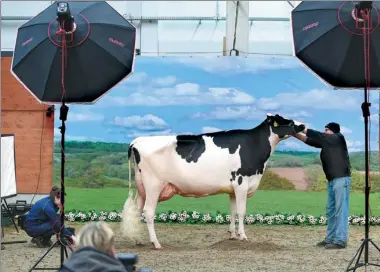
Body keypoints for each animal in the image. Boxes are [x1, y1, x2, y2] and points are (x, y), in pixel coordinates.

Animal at [121, 112, 306, 249]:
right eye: (289, 122)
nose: (303, 125)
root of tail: (138, 140)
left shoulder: (233, 188)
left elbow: (233, 211)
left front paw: (232, 235)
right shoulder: (241, 182)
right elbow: (241, 212)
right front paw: (243, 236)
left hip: (142, 187)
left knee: (138, 210)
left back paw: (138, 240)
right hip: (153, 185)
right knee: (148, 212)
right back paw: (156, 243)